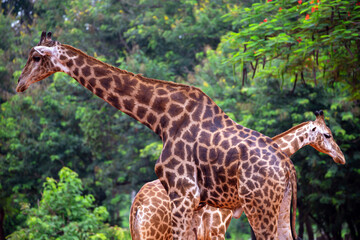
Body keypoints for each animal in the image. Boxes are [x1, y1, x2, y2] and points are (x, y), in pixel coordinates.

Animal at [16, 32, 298, 240]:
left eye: (36, 57)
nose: (19, 84)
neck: (161, 119)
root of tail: (287, 167)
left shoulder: (183, 193)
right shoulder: (195, 203)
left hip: (258, 205)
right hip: (281, 209)